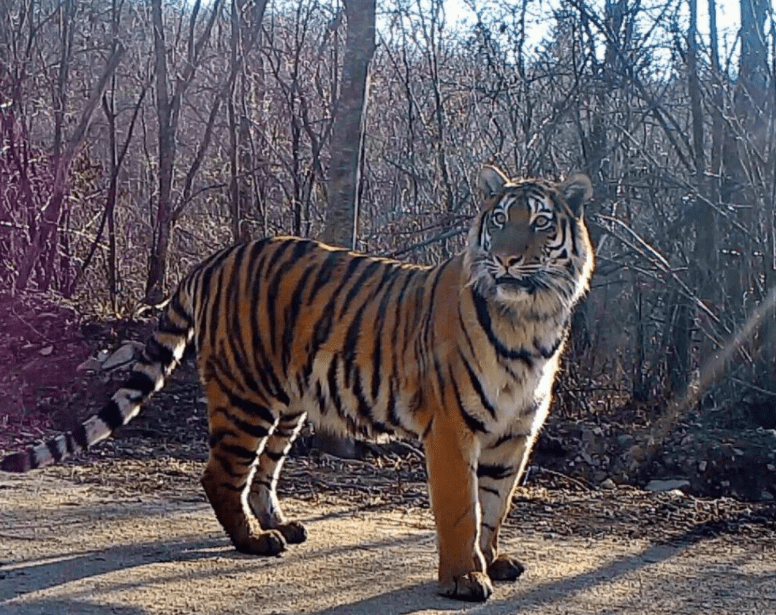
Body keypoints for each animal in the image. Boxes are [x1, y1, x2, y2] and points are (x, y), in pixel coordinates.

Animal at [1, 164, 596, 600]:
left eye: (540, 223)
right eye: (499, 220)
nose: (506, 259)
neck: (531, 321)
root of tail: (213, 259)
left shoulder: (515, 433)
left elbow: (495, 506)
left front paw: (492, 561)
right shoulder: (452, 430)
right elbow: (462, 511)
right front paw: (464, 578)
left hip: (287, 403)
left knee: (262, 474)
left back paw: (282, 527)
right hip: (245, 397)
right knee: (221, 474)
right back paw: (253, 541)